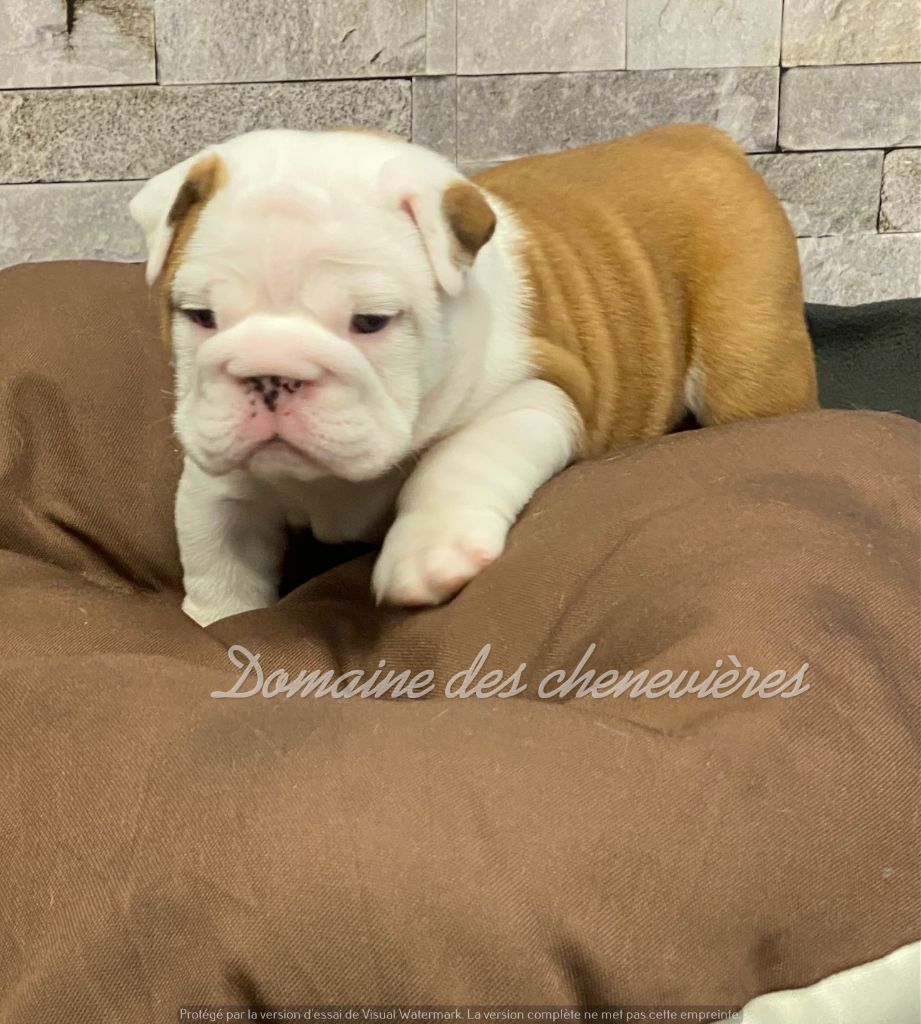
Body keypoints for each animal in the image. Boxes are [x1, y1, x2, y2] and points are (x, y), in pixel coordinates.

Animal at [129, 124, 817, 626]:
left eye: (370, 322)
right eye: (199, 316)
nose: (270, 375)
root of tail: (702, 137)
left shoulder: (535, 394)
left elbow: (457, 460)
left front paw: (427, 553)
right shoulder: (221, 472)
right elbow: (216, 540)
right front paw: (217, 619)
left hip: (747, 359)